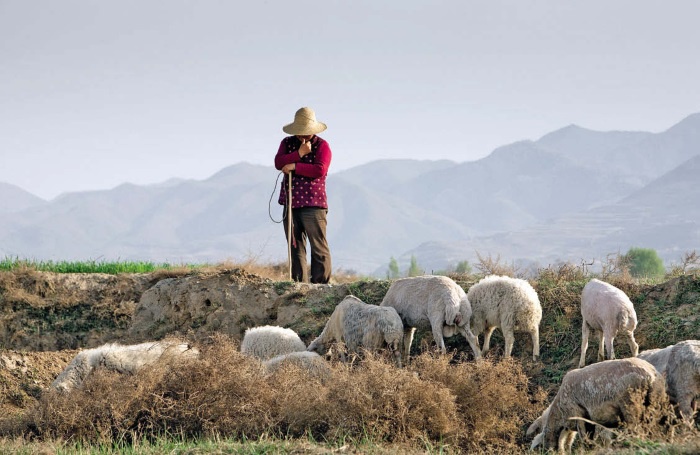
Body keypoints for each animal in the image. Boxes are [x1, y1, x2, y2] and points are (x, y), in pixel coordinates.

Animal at [532, 360, 668, 452]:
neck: (559, 411)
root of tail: (650, 376)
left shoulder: (578, 413)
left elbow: (585, 437)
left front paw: (588, 449)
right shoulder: (589, 420)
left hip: (631, 405)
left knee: (636, 429)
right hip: (655, 403)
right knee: (652, 427)